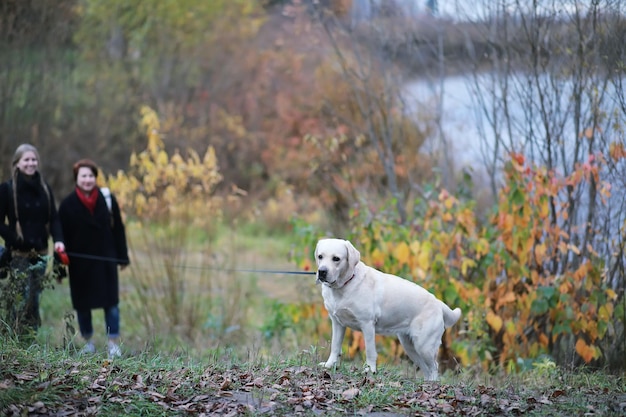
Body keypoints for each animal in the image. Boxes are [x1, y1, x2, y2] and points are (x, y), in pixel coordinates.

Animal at [314, 237, 460, 380]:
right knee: (426, 369)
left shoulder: (367, 324)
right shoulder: (337, 322)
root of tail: (438, 303)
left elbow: (370, 351)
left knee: (434, 367)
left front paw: (369, 371)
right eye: (320, 256)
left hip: (424, 345)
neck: (345, 284)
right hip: (410, 346)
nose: (322, 272)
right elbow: (335, 346)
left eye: (336, 258)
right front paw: (329, 365)